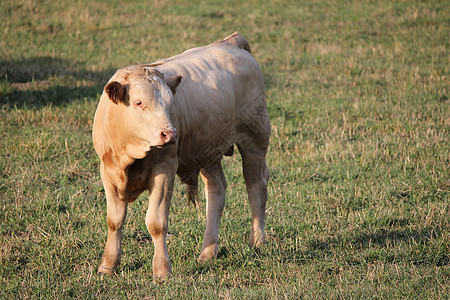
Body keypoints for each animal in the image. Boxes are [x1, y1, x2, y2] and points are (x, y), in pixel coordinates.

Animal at [89, 32, 268, 278]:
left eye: (170, 103)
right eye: (138, 102)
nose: (170, 133)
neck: (129, 152)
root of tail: (231, 42)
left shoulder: (164, 170)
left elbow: (156, 222)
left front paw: (162, 270)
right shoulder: (107, 171)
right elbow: (114, 221)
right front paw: (108, 265)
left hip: (255, 139)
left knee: (255, 187)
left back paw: (257, 242)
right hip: (208, 150)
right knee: (216, 192)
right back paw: (208, 251)